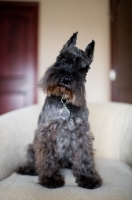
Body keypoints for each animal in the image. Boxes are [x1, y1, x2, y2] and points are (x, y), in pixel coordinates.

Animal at [17, 32, 102, 189]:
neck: (64, 102)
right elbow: (47, 157)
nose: (66, 79)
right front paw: (50, 178)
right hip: (32, 146)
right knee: (32, 158)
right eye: (62, 58)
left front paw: (88, 177)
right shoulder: (46, 132)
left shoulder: (82, 133)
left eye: (83, 68)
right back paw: (28, 168)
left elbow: (84, 156)